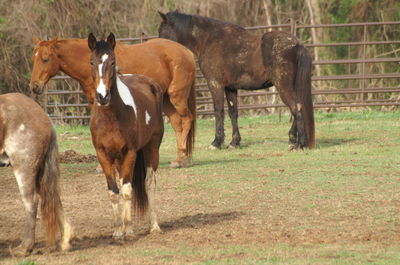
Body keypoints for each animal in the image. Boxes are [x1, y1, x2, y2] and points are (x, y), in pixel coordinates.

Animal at [0, 93, 72, 256]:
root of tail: (42, 114)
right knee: (52, 197)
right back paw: (65, 241)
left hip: (24, 167)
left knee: (31, 201)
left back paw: (25, 247)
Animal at [28, 36, 195, 167]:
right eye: (33, 59)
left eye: (45, 59)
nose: (34, 86)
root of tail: (187, 52)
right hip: (166, 100)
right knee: (177, 124)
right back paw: (178, 158)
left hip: (177, 96)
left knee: (187, 119)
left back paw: (182, 159)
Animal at [87, 33, 164, 237]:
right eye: (92, 62)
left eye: (113, 62)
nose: (102, 96)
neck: (111, 117)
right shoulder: (103, 155)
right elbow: (114, 191)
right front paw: (117, 230)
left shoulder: (130, 152)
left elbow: (128, 190)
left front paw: (128, 229)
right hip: (118, 158)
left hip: (152, 149)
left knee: (149, 183)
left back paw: (154, 226)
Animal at [158, 10, 314, 150]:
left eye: (162, 31)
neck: (208, 39)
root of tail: (297, 44)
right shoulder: (230, 88)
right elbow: (233, 113)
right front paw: (234, 142)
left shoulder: (215, 84)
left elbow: (219, 111)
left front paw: (216, 142)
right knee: (298, 106)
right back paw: (293, 140)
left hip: (283, 86)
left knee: (296, 107)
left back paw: (300, 144)